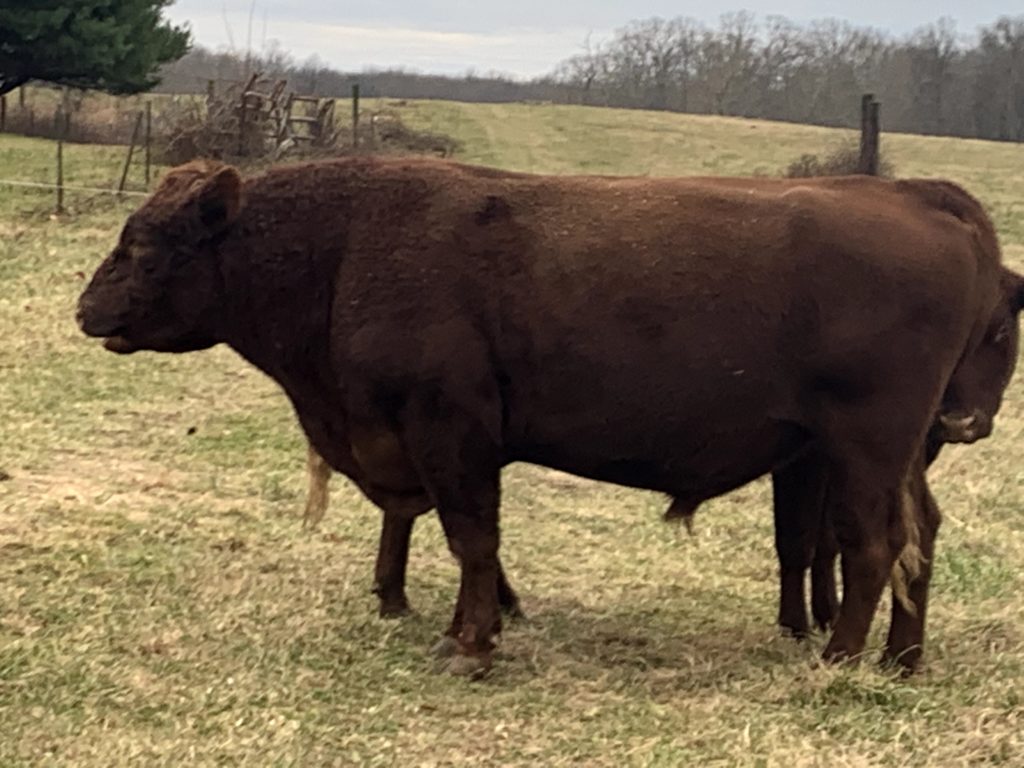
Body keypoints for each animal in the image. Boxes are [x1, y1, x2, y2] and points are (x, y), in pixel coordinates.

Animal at [75, 159, 1019, 675]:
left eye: (146, 245)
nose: (85, 309)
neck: (346, 245)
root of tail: (922, 202)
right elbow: (466, 541)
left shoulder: (449, 433)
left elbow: (470, 537)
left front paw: (470, 644)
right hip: (900, 454)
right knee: (920, 534)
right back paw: (901, 662)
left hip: (864, 448)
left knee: (873, 545)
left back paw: (837, 660)